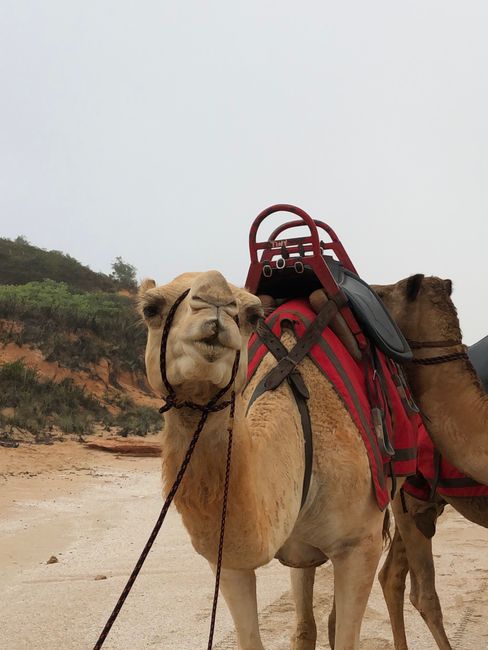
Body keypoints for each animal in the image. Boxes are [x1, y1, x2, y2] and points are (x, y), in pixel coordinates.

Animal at [140, 268, 388, 648]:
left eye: (251, 315)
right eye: (150, 308)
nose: (214, 299)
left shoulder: (361, 543)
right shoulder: (228, 560)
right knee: (305, 608)